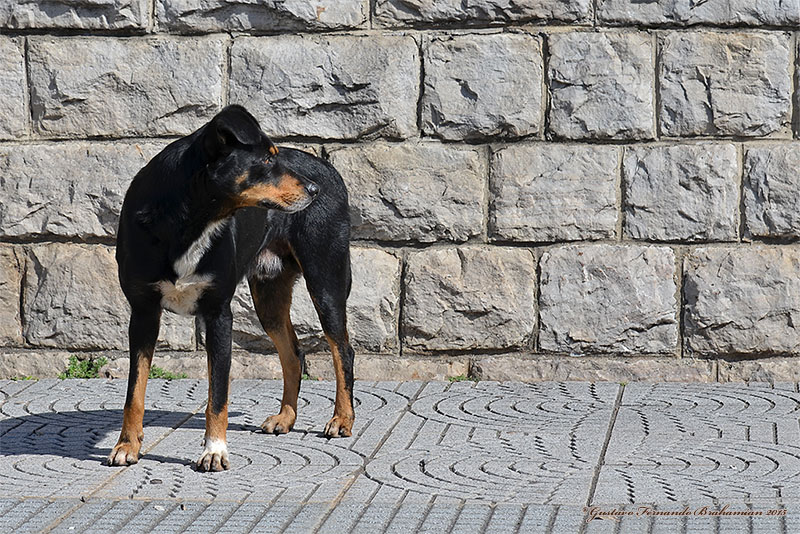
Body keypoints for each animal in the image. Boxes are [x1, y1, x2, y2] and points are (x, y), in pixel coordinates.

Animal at [108, 105, 355, 472]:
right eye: (267, 160)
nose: (314, 190)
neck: (188, 222)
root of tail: (329, 171)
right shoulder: (143, 313)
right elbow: (134, 392)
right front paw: (127, 445)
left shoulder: (218, 314)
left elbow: (218, 395)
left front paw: (214, 450)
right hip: (269, 296)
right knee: (293, 354)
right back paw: (285, 418)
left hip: (326, 280)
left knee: (343, 352)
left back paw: (342, 419)